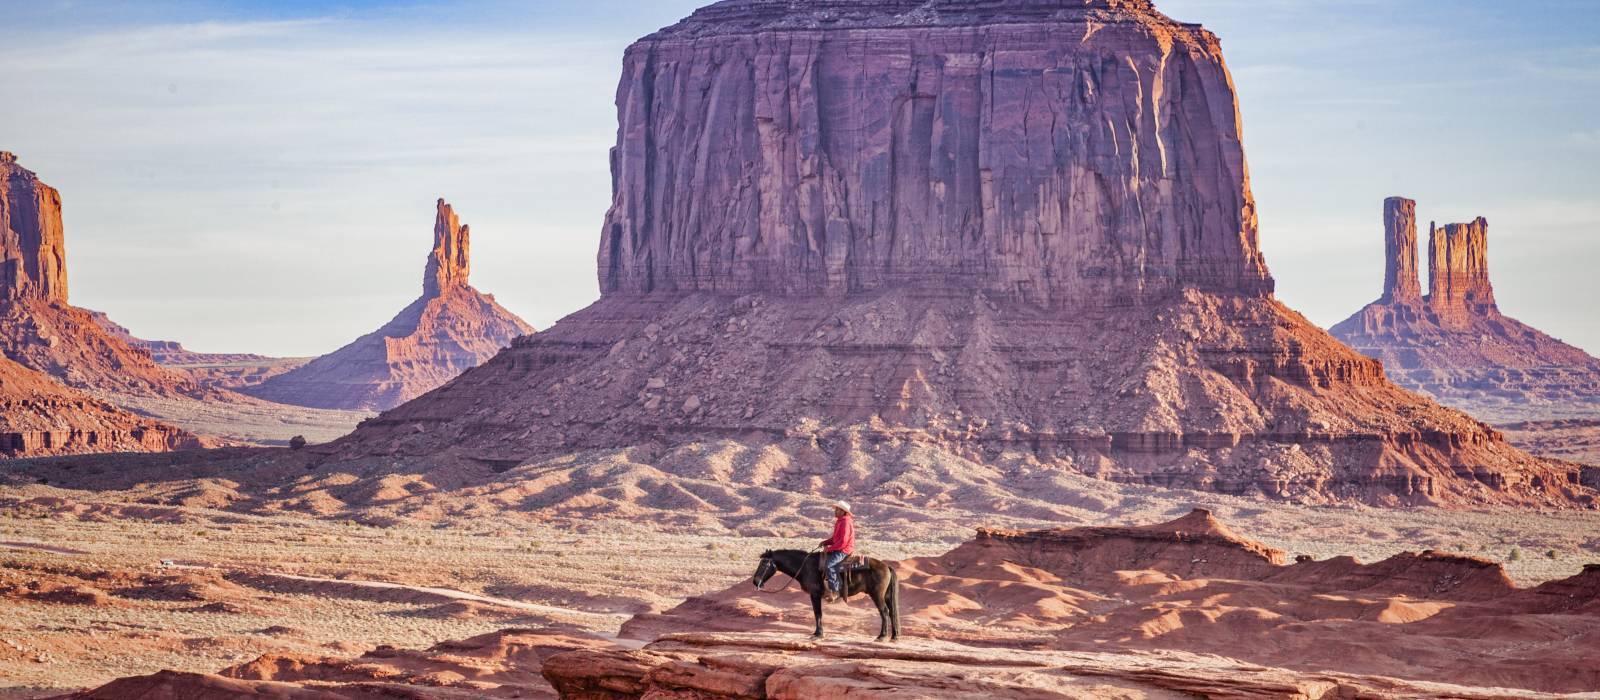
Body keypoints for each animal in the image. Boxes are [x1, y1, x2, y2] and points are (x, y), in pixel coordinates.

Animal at [752, 549, 902, 642]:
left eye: (764, 563)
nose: (755, 581)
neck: (805, 566)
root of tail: (886, 566)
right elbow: (818, 613)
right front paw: (817, 633)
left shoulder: (815, 594)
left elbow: (817, 613)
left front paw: (818, 634)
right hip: (887, 595)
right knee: (892, 612)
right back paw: (894, 636)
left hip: (877, 594)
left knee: (884, 611)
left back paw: (881, 636)